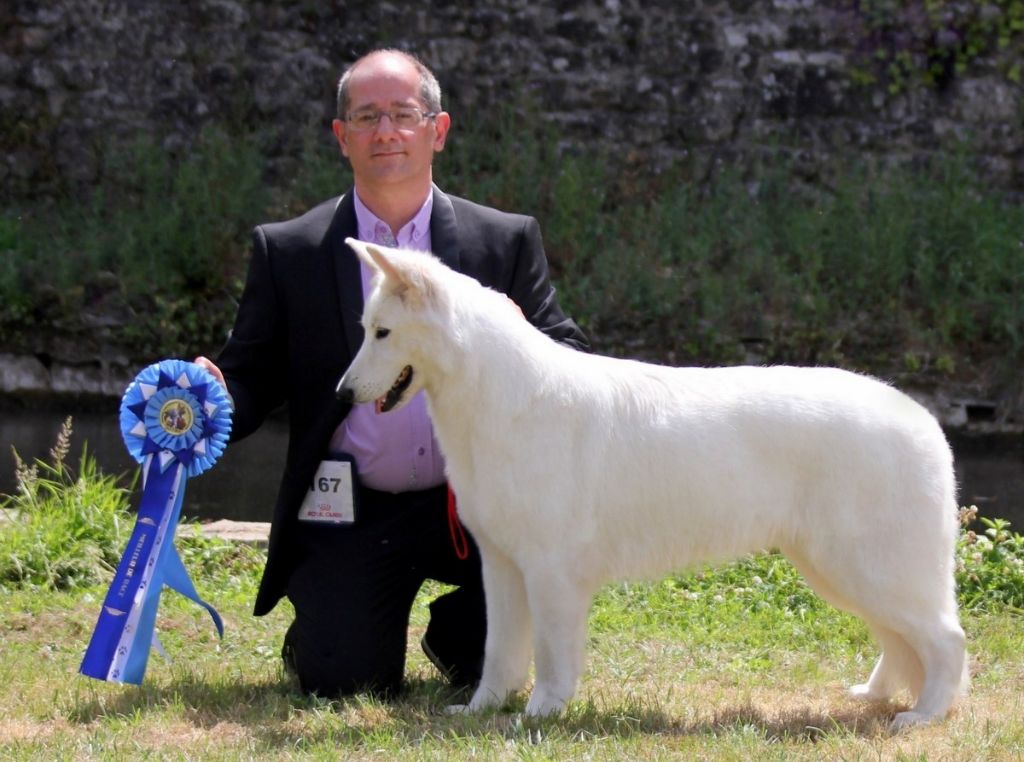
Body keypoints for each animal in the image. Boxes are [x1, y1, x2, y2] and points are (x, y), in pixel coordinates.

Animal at [336, 238, 967, 730]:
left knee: (945, 638)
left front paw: (541, 714)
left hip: (863, 567)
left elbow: (549, 654)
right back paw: (879, 696)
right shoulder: (502, 565)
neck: (496, 394)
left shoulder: (550, 570)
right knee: (902, 639)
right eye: (366, 330)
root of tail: (924, 420)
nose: (341, 394)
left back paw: (924, 715)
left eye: (383, 333)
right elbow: (499, 653)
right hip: (840, 569)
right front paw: (483, 710)